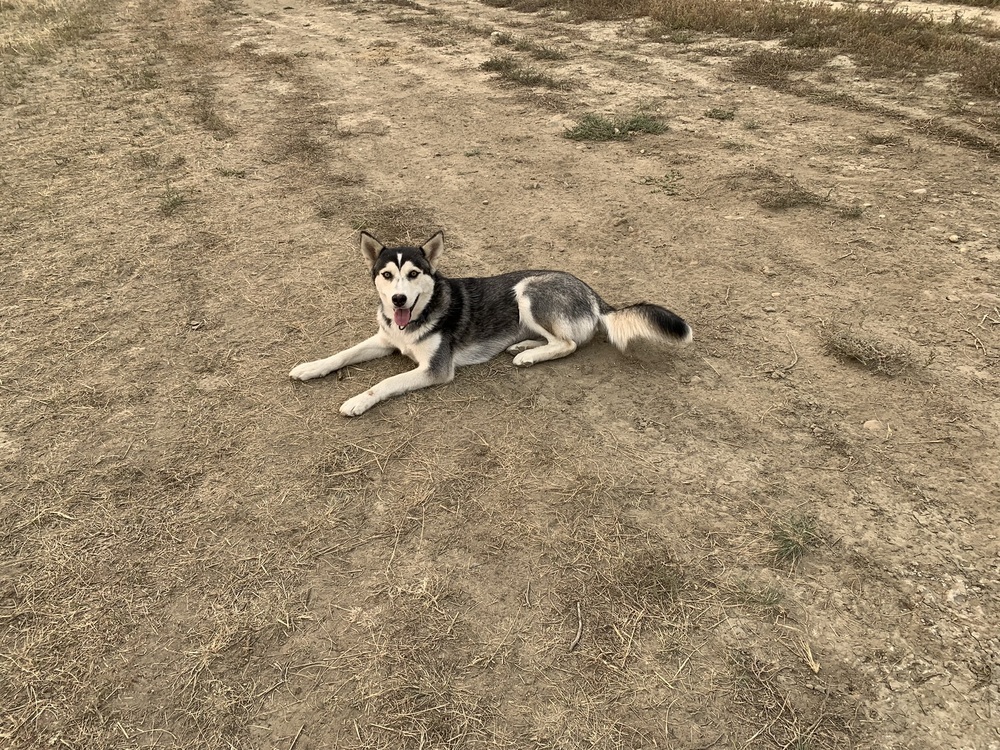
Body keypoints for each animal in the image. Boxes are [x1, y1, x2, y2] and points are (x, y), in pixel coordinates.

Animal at [292, 232, 692, 418]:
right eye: (387, 275)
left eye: (414, 274)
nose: (398, 300)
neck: (420, 314)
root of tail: (592, 292)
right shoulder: (386, 339)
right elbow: (343, 354)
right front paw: (310, 367)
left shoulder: (435, 369)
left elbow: (384, 383)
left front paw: (356, 401)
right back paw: (523, 346)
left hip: (527, 291)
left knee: (568, 344)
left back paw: (527, 357)